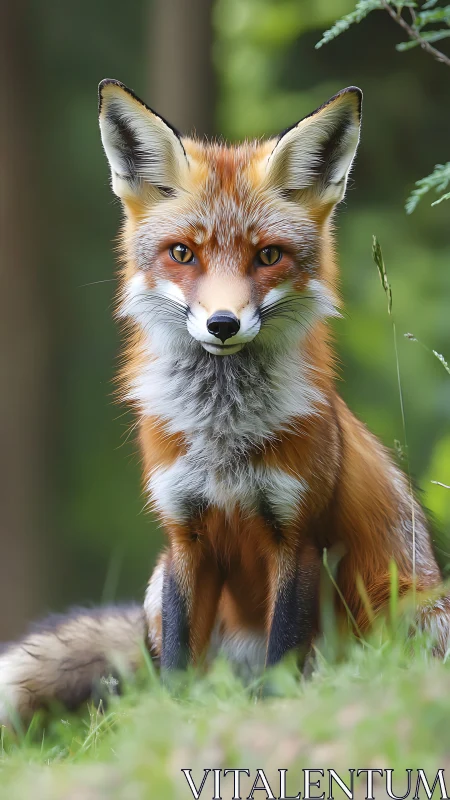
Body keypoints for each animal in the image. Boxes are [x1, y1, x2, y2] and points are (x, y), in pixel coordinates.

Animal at [0, 79, 448, 727]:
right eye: (183, 254)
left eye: (268, 256)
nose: (222, 323)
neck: (223, 435)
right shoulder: (183, 534)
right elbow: (176, 665)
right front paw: (170, 722)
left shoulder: (297, 533)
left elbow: (282, 656)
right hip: (156, 586)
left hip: (414, 614)